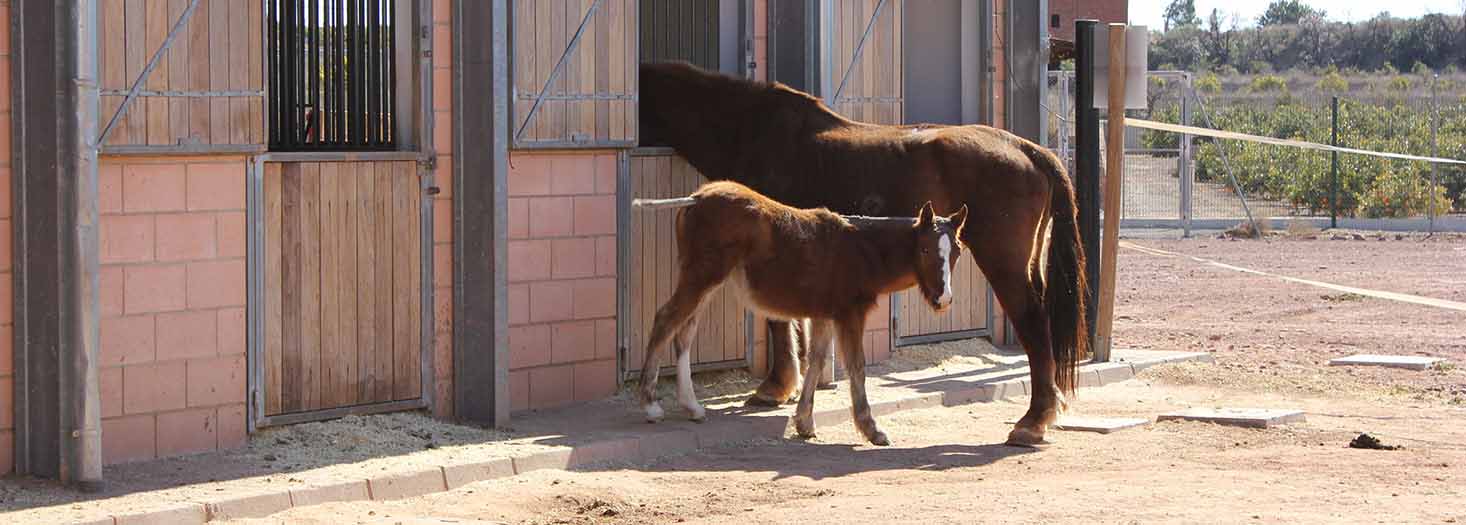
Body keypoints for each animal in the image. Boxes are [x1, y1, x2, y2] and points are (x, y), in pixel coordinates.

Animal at [627, 180, 961, 442]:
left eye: (956, 252)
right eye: (925, 249)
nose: (943, 298)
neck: (862, 248)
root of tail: (695, 198)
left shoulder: (825, 314)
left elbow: (816, 359)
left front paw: (804, 422)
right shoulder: (850, 313)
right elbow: (857, 365)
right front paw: (872, 429)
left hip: (704, 281)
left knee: (683, 333)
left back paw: (692, 407)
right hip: (702, 277)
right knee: (665, 321)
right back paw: (651, 406)